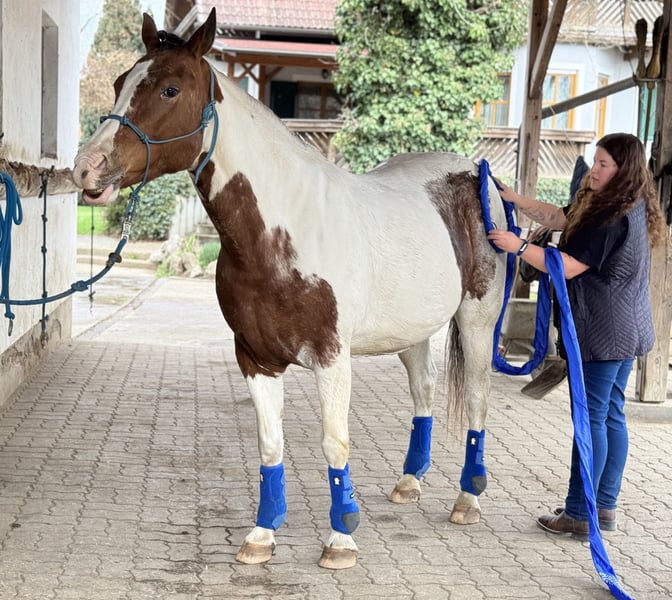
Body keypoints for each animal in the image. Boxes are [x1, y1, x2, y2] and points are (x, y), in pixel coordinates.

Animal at [72, 9, 508, 570]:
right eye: (119, 82)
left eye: (170, 89)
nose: (87, 168)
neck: (287, 231)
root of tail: (477, 175)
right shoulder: (255, 358)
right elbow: (270, 445)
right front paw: (262, 535)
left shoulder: (332, 358)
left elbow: (335, 443)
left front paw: (341, 538)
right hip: (411, 331)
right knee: (424, 390)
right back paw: (409, 482)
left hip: (477, 321)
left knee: (477, 399)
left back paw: (467, 499)